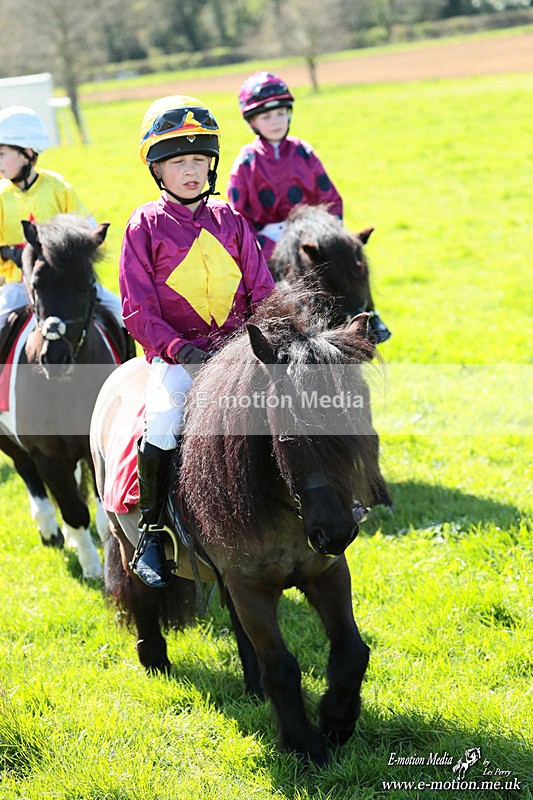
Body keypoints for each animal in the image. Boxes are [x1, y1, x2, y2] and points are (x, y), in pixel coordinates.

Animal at [0, 214, 130, 578]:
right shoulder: (48, 456)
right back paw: (50, 530)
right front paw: (92, 567)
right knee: (28, 474)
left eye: (87, 285)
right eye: (36, 285)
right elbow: (73, 511)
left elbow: (99, 508)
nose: (55, 357)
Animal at [90, 287, 389, 764]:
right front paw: (305, 745)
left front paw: (336, 722)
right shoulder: (251, 586)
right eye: (288, 437)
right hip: (124, 538)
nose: (336, 532)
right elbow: (282, 667)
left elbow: (352, 652)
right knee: (140, 591)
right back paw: (154, 660)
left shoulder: (326, 572)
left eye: (356, 426)